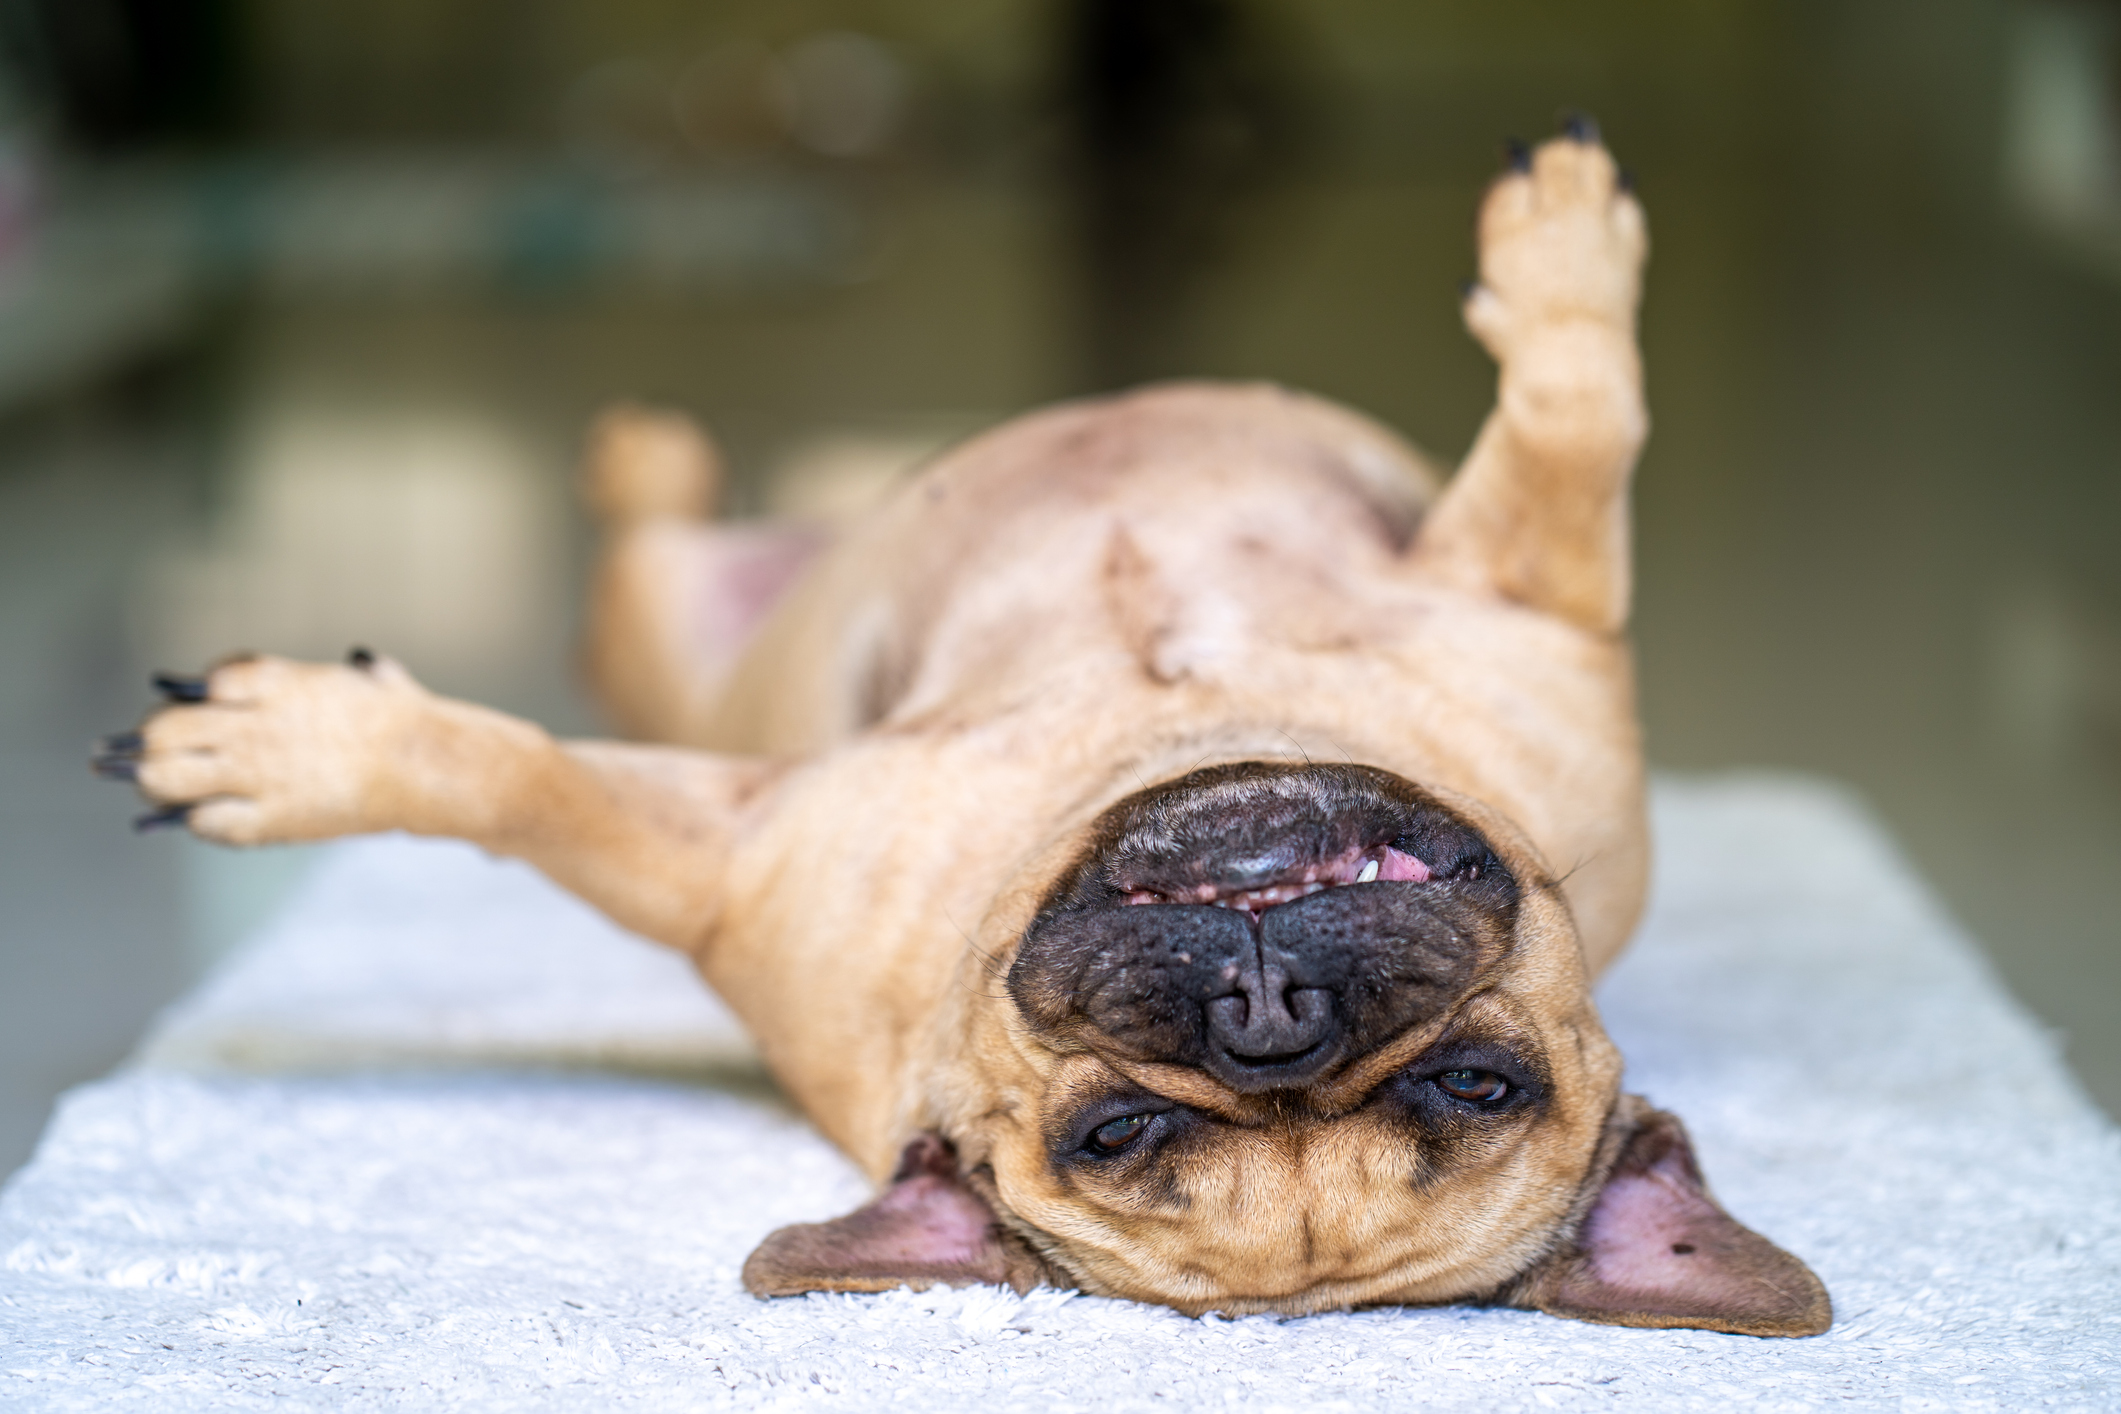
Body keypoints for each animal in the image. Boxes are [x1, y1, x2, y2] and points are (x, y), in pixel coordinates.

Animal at [95, 129, 1824, 1339]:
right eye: (1118, 1130)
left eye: (1477, 1082)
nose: (1272, 1012)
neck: (1174, 719)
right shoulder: (1536, 590)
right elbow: (1578, 414)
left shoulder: (715, 861)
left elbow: (525, 784)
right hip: (680, 614)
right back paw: (648, 436)